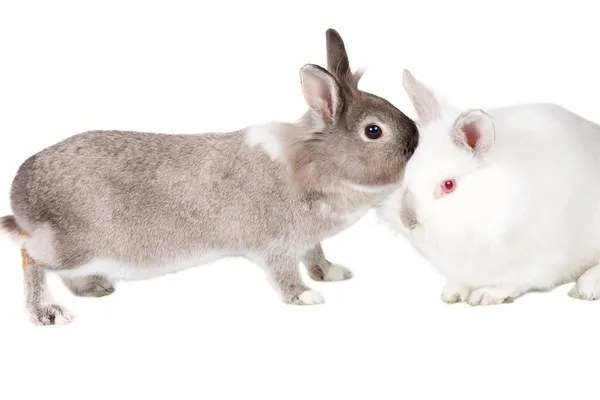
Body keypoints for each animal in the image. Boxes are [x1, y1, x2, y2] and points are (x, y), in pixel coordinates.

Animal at [0, 29, 418, 326]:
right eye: (373, 131)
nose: (415, 144)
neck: (317, 162)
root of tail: (21, 196)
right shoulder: (276, 244)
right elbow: (283, 272)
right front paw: (305, 296)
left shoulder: (309, 239)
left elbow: (315, 255)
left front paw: (331, 273)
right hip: (75, 244)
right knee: (30, 257)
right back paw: (48, 313)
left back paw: (93, 286)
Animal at [380, 69, 600, 306]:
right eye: (406, 171)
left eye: (448, 185)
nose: (408, 220)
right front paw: (453, 292)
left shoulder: (536, 256)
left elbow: (513, 280)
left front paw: (485, 295)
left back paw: (585, 289)